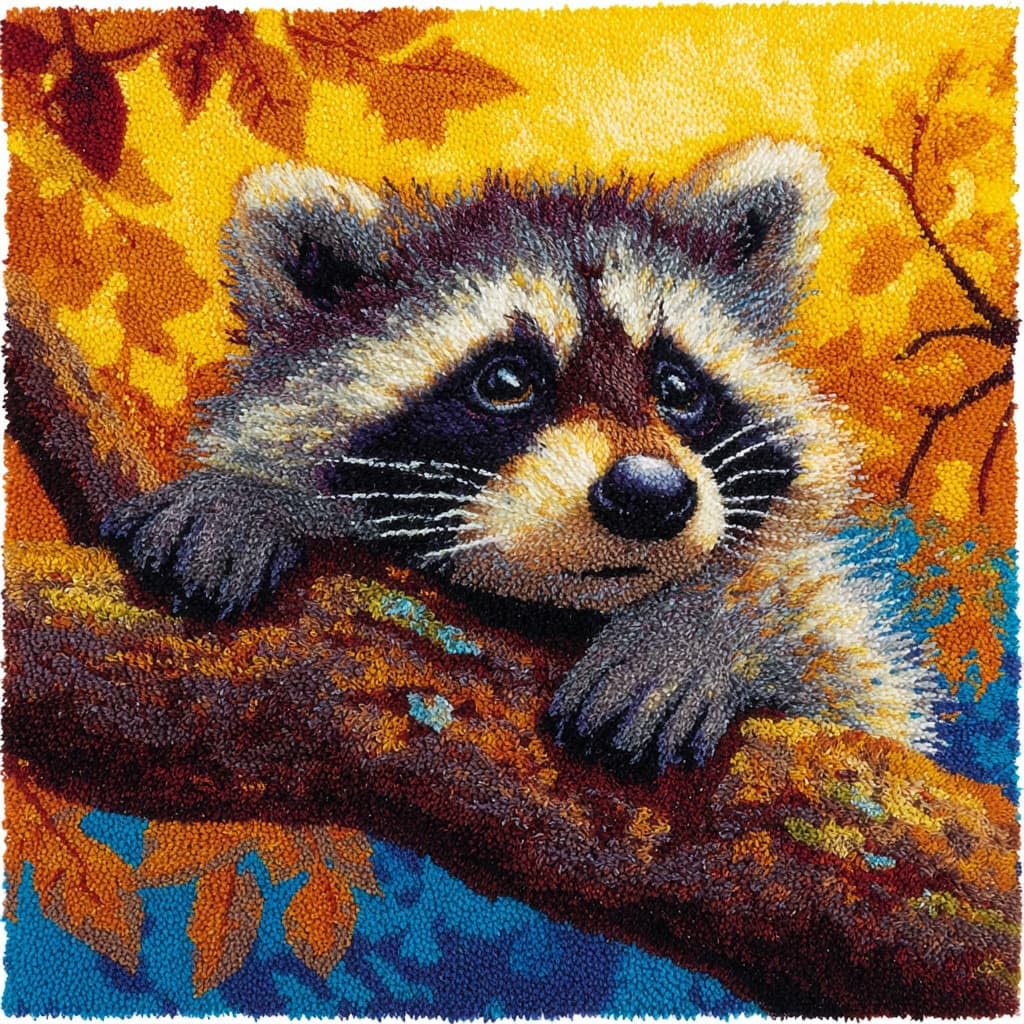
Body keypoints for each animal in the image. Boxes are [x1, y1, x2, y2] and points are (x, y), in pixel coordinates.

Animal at [101, 139, 938, 772]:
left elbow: (843, 677)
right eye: (506, 381)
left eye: (676, 386)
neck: (548, 608)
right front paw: (252, 496)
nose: (650, 494)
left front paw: (704, 626)